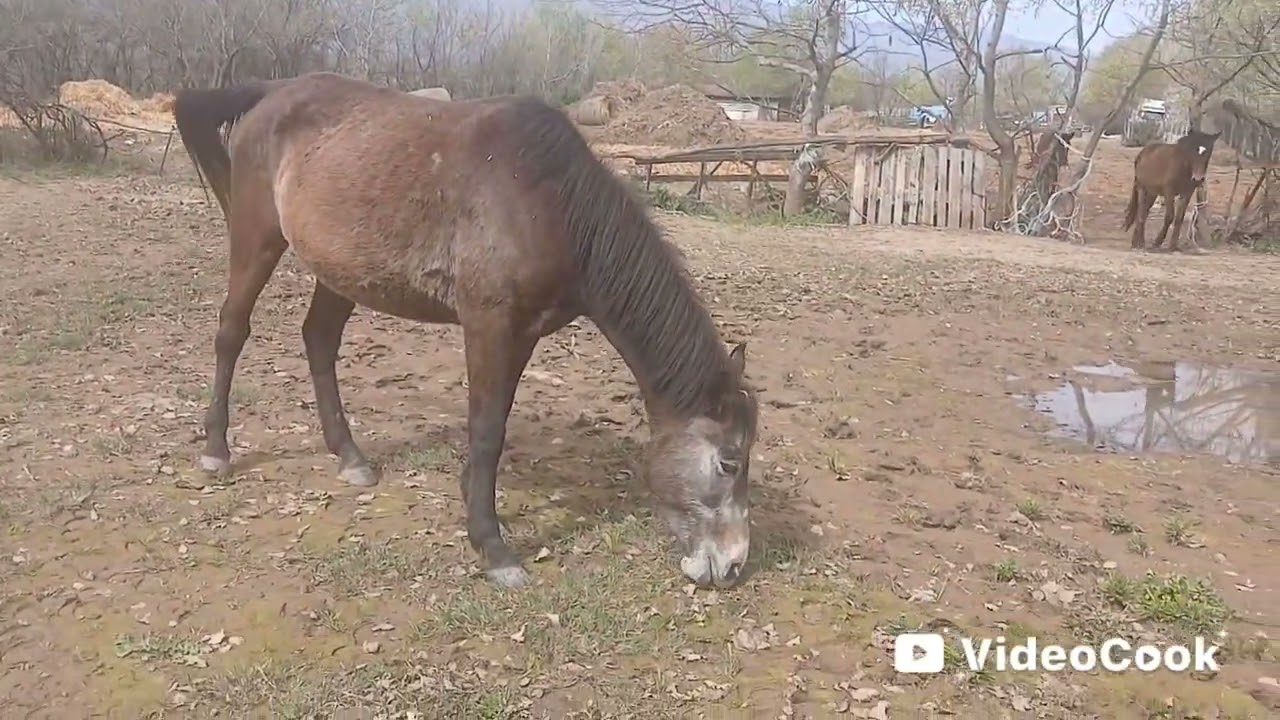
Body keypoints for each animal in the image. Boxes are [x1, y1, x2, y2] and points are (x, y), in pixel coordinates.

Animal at [171, 72, 759, 590]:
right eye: (728, 462)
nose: (733, 566)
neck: (547, 201)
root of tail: (273, 93)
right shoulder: (488, 323)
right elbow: (486, 429)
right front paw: (492, 547)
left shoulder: (523, 332)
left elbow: (494, 421)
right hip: (256, 237)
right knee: (232, 331)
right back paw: (217, 450)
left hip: (340, 269)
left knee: (319, 341)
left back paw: (350, 457)